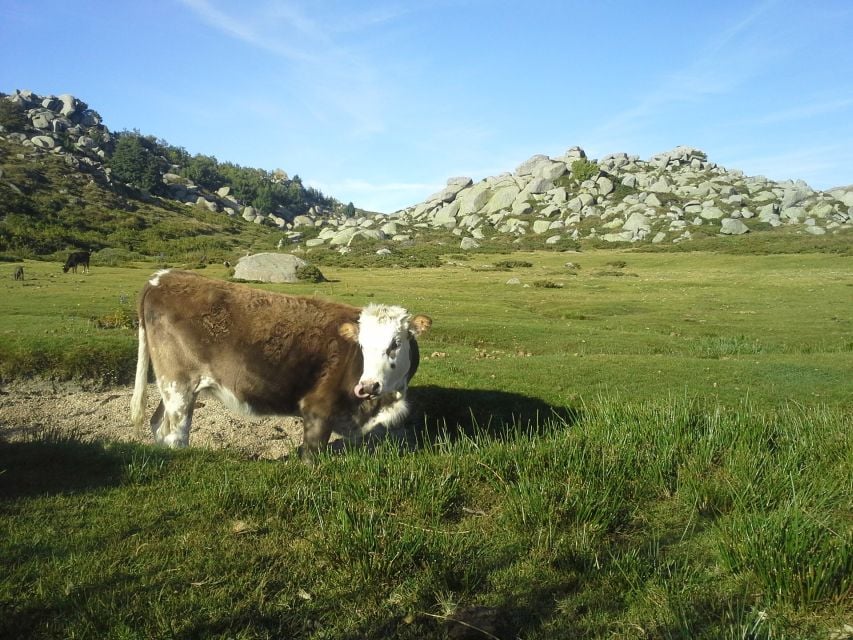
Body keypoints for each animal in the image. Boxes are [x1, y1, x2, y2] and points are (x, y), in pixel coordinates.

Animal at [131, 268, 432, 460]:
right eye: (362, 345)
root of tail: (162, 276)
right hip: (179, 385)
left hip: (173, 387)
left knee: (158, 424)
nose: (368, 386)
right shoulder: (317, 410)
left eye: (395, 343)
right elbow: (312, 456)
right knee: (175, 435)